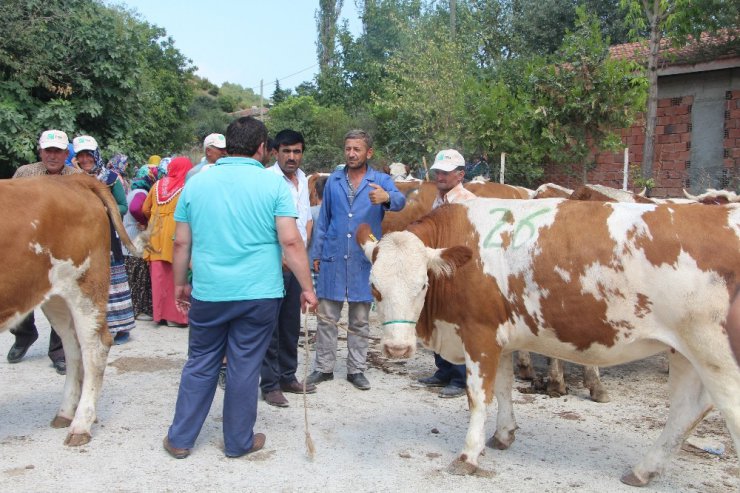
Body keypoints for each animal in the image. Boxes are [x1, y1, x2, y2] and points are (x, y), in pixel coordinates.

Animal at [0, 174, 143, 446]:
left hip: (85, 286)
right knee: (71, 346)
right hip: (55, 295)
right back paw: (66, 413)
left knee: (94, 347)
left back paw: (81, 424)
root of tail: (73, 178)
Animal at [356, 198, 736, 486]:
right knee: (687, 409)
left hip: (717, 355)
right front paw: (503, 435)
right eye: (375, 287)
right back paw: (644, 470)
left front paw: (469, 455)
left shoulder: (479, 333)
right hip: (686, 353)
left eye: (422, 284)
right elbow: (505, 388)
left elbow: (478, 397)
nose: (397, 349)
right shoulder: (502, 337)